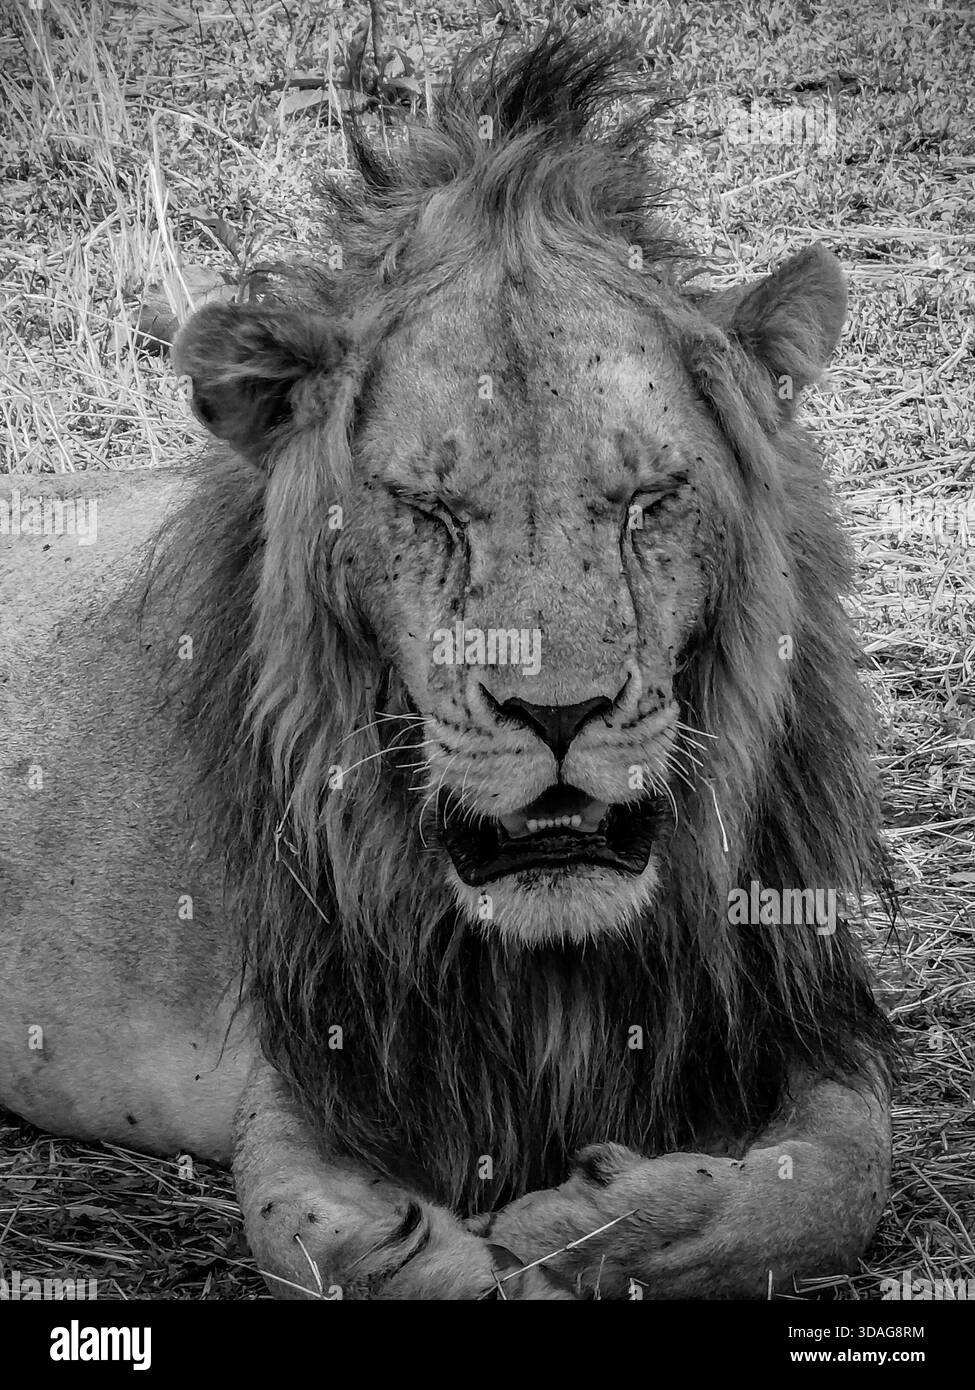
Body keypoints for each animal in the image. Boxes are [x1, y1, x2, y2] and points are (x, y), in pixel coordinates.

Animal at [0, 30, 895, 1299]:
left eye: (647, 501)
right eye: (428, 511)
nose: (560, 715)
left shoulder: (793, 1002)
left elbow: (838, 1182)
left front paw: (611, 1222)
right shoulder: (318, 1064)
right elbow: (329, 1240)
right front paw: (514, 1248)